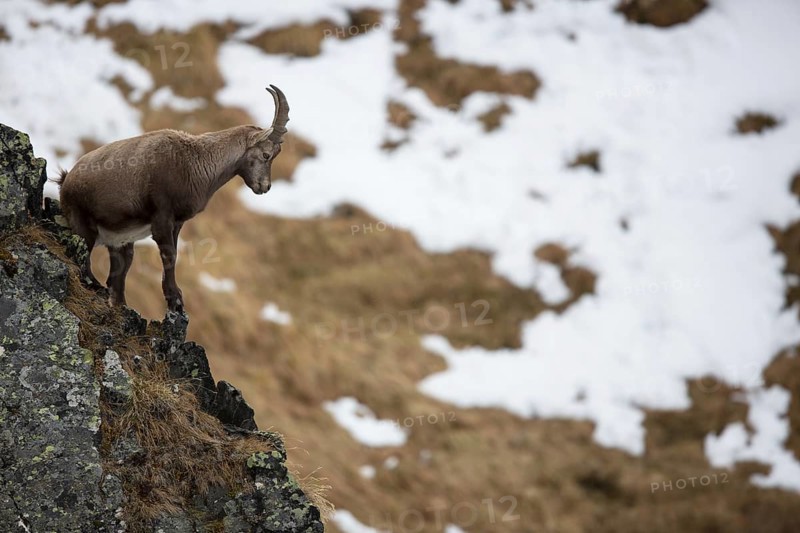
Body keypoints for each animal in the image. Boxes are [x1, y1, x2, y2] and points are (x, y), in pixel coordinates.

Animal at [56, 85, 289, 312]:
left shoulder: (177, 222)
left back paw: (120, 303)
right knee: (84, 258)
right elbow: (169, 255)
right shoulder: (162, 216)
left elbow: (174, 254)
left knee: (121, 267)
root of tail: (65, 180)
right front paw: (174, 298)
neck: (196, 163)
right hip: (84, 226)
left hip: (120, 240)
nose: (265, 187)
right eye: (266, 155)